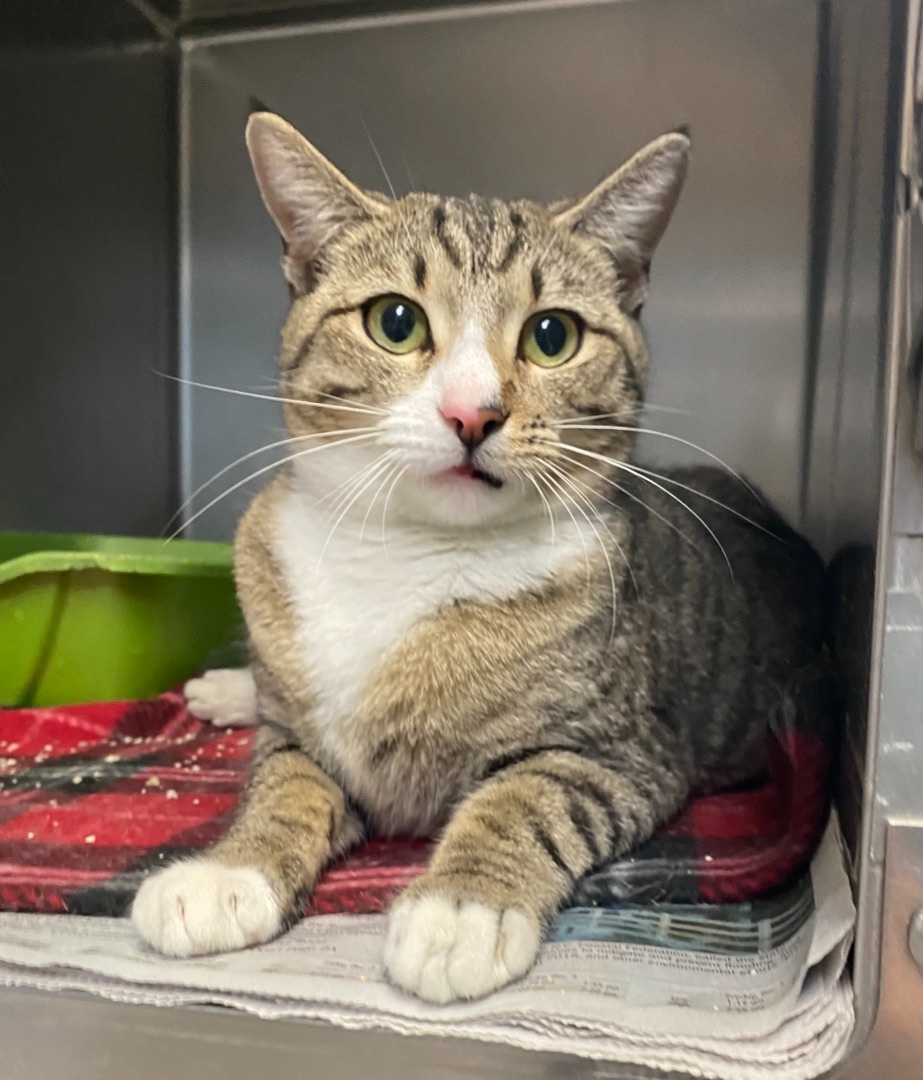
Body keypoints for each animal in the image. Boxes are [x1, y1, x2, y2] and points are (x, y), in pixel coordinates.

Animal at [130, 111, 829, 1002]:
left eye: (551, 335)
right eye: (395, 321)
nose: (473, 414)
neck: (408, 553)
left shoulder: (621, 752)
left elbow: (525, 799)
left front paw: (461, 909)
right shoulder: (300, 737)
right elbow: (281, 782)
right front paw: (230, 871)